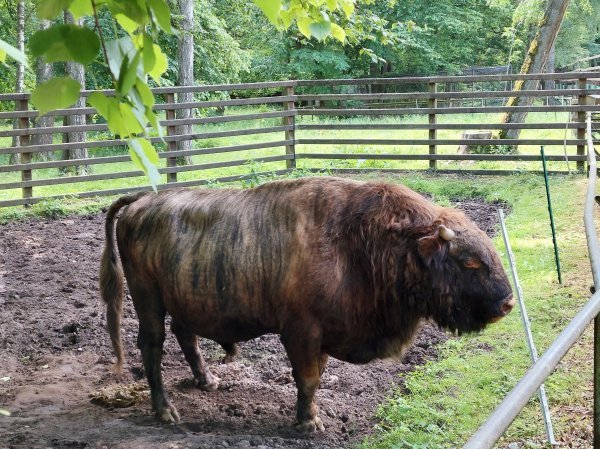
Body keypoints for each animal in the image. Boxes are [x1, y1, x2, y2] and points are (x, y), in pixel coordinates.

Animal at [101, 175, 512, 430]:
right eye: (468, 261)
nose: (507, 304)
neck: (362, 243)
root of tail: (143, 201)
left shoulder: (325, 334)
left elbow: (316, 377)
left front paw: (308, 416)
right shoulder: (301, 332)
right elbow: (308, 378)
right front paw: (309, 423)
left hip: (184, 299)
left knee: (186, 336)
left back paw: (209, 382)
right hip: (148, 299)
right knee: (152, 346)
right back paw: (166, 411)